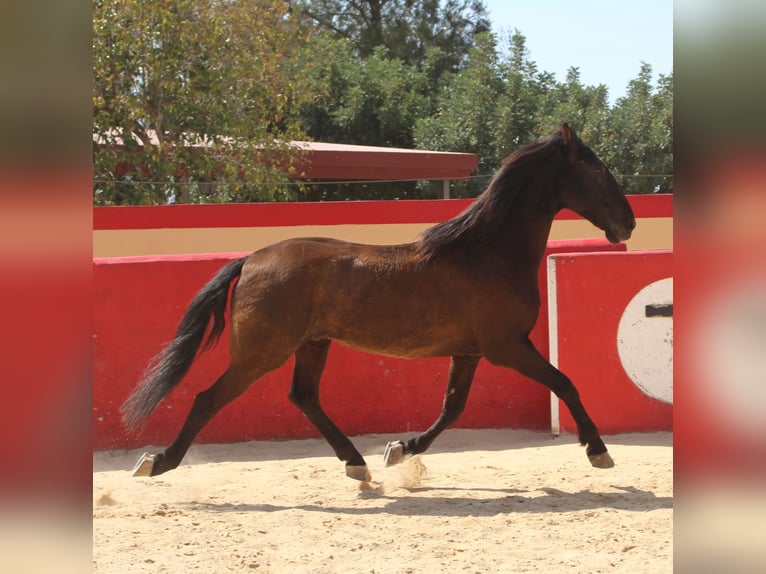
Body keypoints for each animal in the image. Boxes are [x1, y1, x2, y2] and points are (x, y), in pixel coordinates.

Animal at [122, 123, 636, 482]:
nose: (628, 223)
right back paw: (157, 462)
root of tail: (250, 260)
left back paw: (357, 464)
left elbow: (452, 408)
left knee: (304, 397)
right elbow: (565, 382)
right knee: (209, 398)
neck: (487, 254)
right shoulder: (506, 347)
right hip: (261, 353)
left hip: (313, 344)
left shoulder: (470, 352)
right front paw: (599, 451)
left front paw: (400, 449)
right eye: (595, 168)